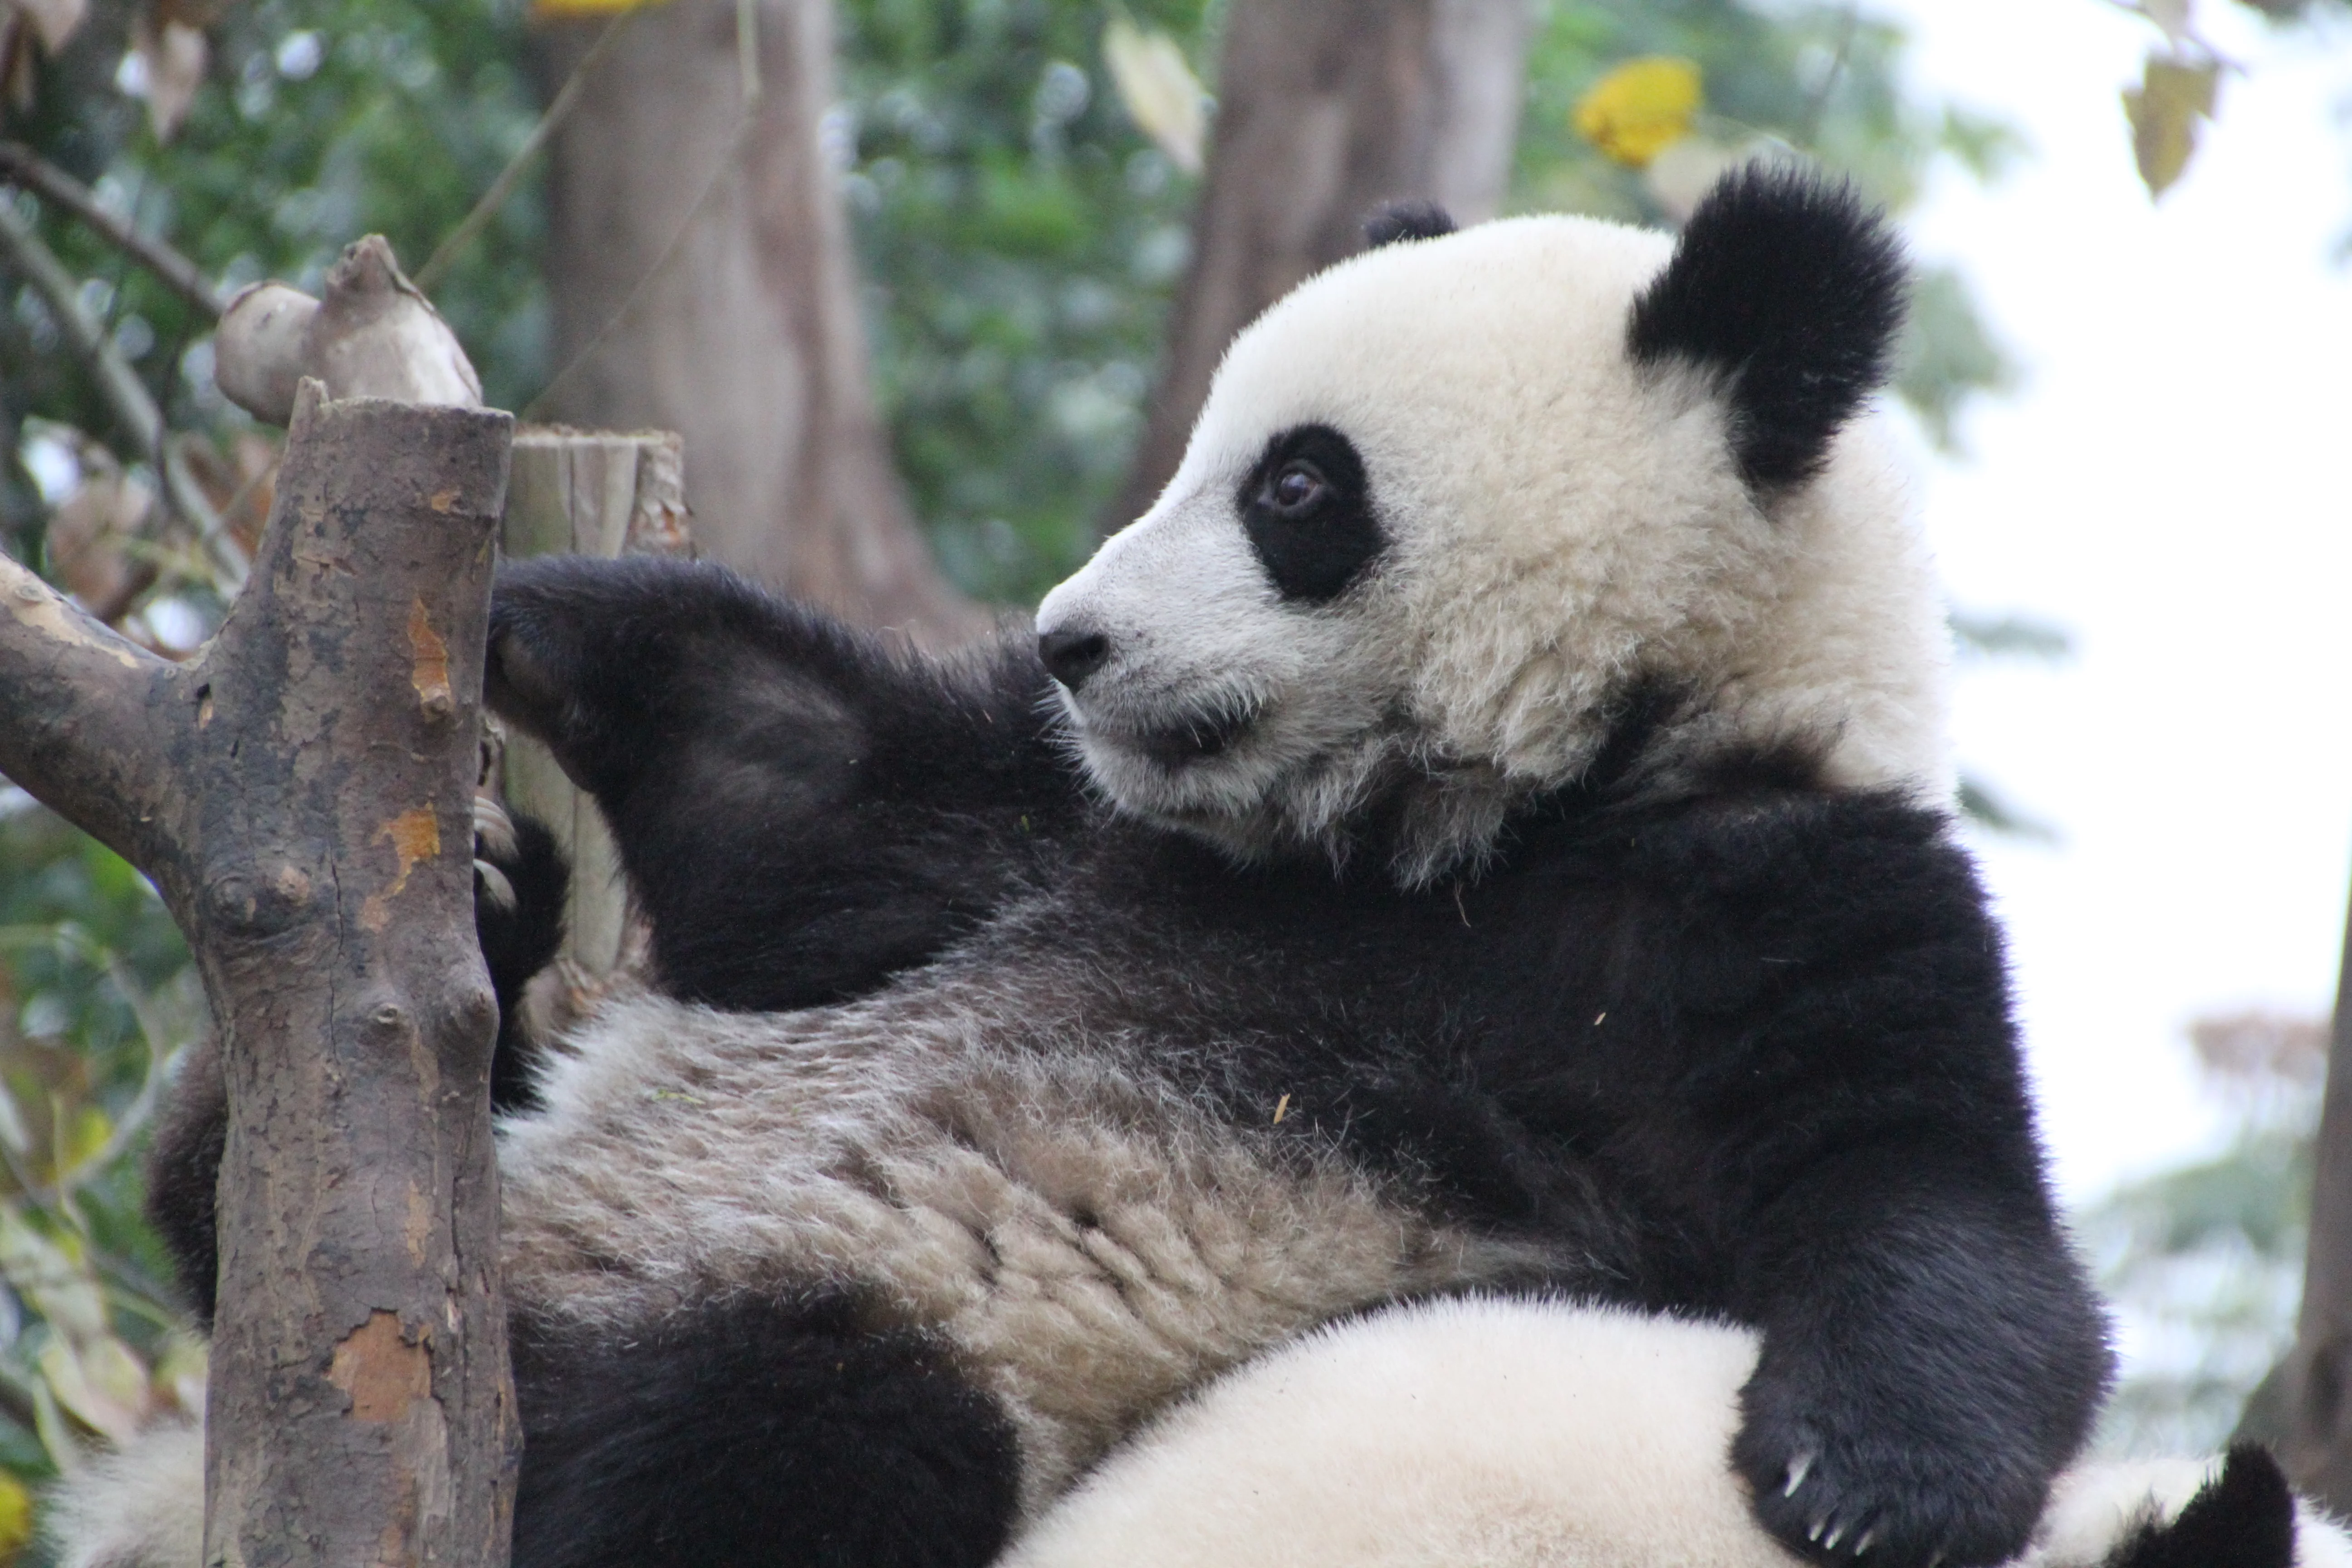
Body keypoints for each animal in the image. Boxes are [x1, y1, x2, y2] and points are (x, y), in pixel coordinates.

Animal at [86, 164, 2119, 1568]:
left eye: (1295, 488)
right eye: (1202, 454)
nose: (1072, 637)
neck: (1435, 838)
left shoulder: (1760, 901)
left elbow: (1929, 1199)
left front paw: (1862, 1480)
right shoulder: (1054, 821)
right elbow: (803, 796)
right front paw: (525, 609)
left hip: (912, 1333)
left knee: (785, 1428)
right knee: (257, 1214)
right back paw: (436, 979)